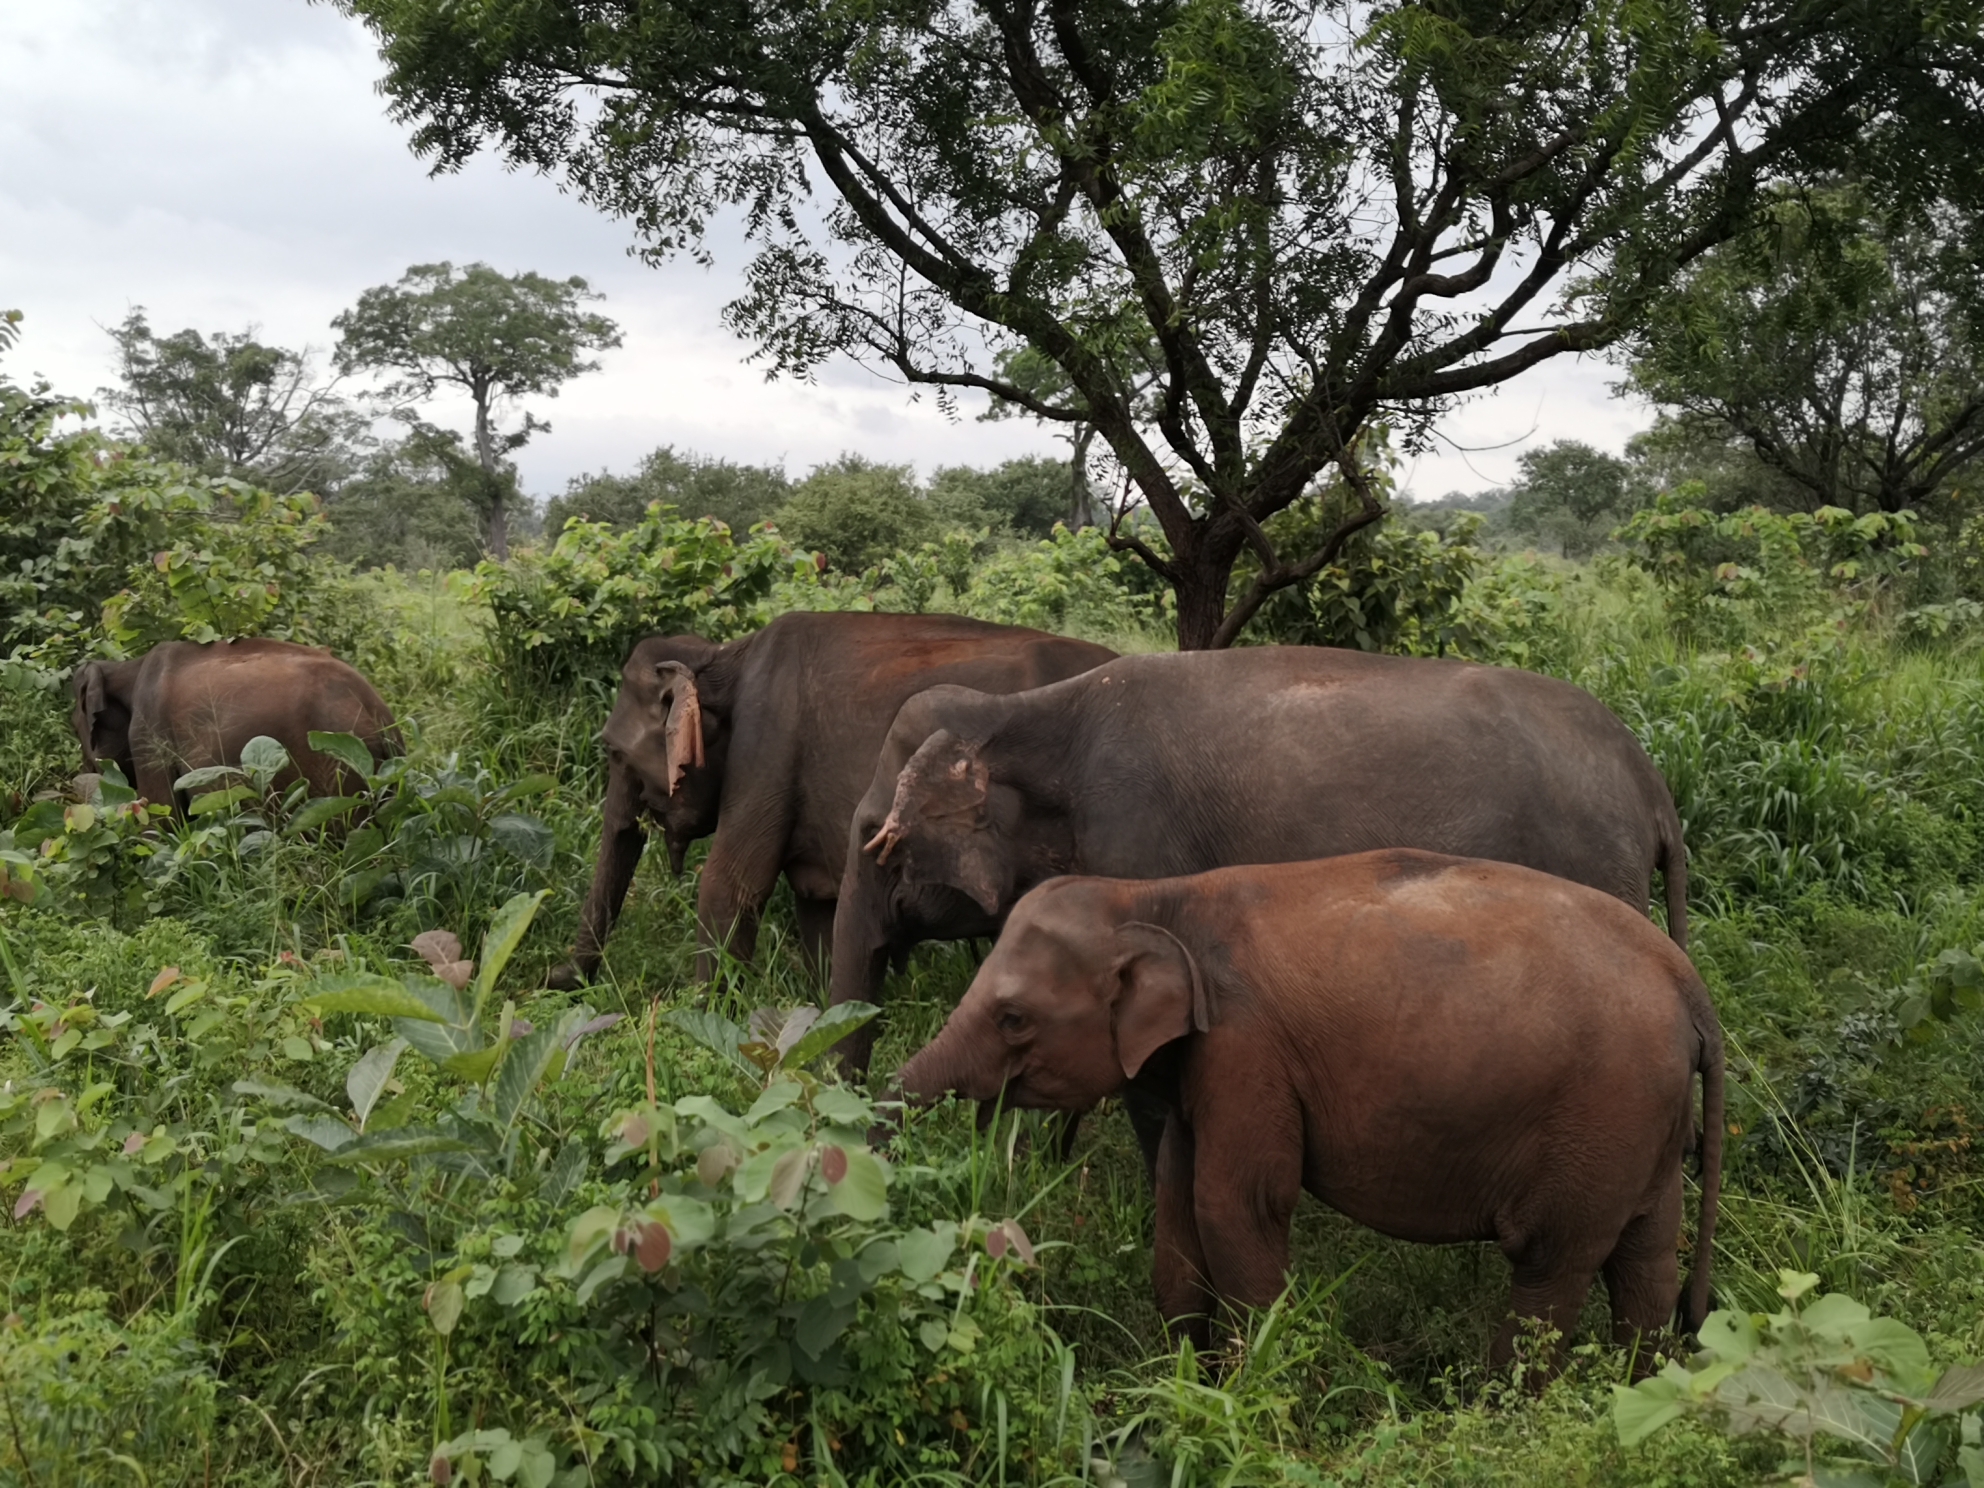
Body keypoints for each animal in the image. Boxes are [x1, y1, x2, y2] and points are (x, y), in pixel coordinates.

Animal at [68, 634, 398, 809]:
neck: (127, 668)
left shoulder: (147, 736)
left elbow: (162, 818)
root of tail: (378, 711)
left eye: (75, 726)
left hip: (336, 769)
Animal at [547, 607, 1118, 992]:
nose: (554, 977)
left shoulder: (766, 747)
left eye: (614, 753)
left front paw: (699, 1013)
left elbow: (733, 883)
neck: (722, 656)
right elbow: (818, 906)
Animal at [900, 857, 1722, 1372]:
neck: (1154, 896)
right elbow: (1177, 1200)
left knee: (1552, 1263)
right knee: (1646, 1257)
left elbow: (1238, 1205)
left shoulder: (1246, 1047)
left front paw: (1254, 1385)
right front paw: (1177, 1380)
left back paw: (1502, 1411)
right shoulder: (1208, 1066)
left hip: (1605, 1110)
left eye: (1012, 1018)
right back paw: (1637, 1391)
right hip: (1643, 1122)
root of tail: (1690, 986)